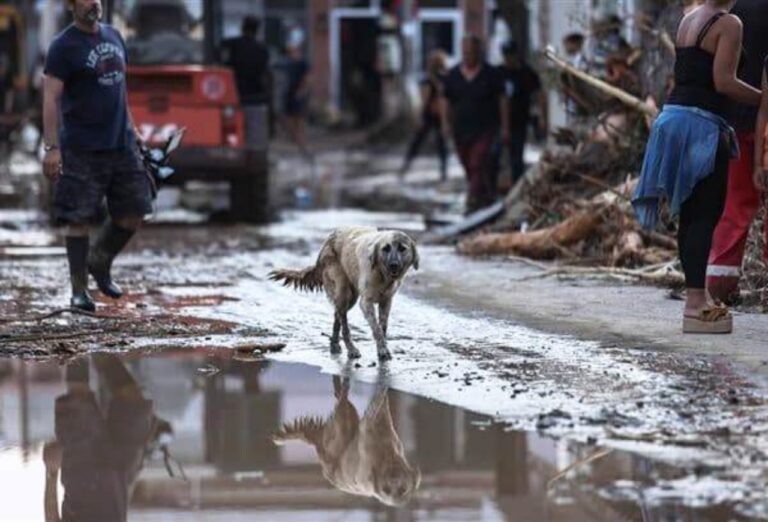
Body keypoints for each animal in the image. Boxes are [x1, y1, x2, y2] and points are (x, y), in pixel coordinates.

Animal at [268, 225, 420, 360]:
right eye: (386, 248)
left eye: (402, 248)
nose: (393, 265)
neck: (383, 276)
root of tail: (328, 240)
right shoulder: (366, 303)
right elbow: (376, 329)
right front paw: (382, 350)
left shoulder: (386, 302)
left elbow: (382, 327)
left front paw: (382, 348)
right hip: (344, 293)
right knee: (344, 326)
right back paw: (351, 350)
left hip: (350, 298)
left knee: (337, 317)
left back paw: (334, 345)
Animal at [274, 374, 424, 504]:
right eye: (386, 490)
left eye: (402, 490)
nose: (393, 479)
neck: (387, 456)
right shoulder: (369, 427)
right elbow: (377, 404)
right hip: (342, 426)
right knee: (342, 399)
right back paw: (344, 385)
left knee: (339, 397)